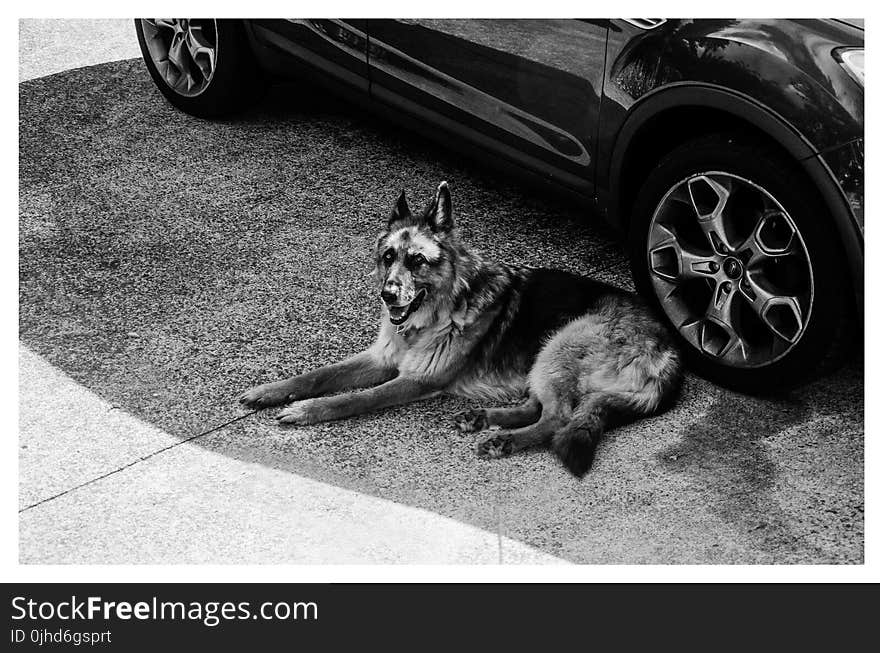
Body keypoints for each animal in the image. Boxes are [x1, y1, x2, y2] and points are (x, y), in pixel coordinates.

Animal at [241, 180, 680, 474]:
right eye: (388, 257)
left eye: (417, 261)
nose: (387, 295)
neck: (436, 314)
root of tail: (669, 348)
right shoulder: (380, 358)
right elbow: (319, 375)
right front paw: (272, 391)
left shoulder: (416, 380)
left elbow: (354, 399)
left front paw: (308, 410)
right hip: (545, 357)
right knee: (540, 406)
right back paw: (483, 418)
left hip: (559, 345)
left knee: (558, 417)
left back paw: (504, 439)